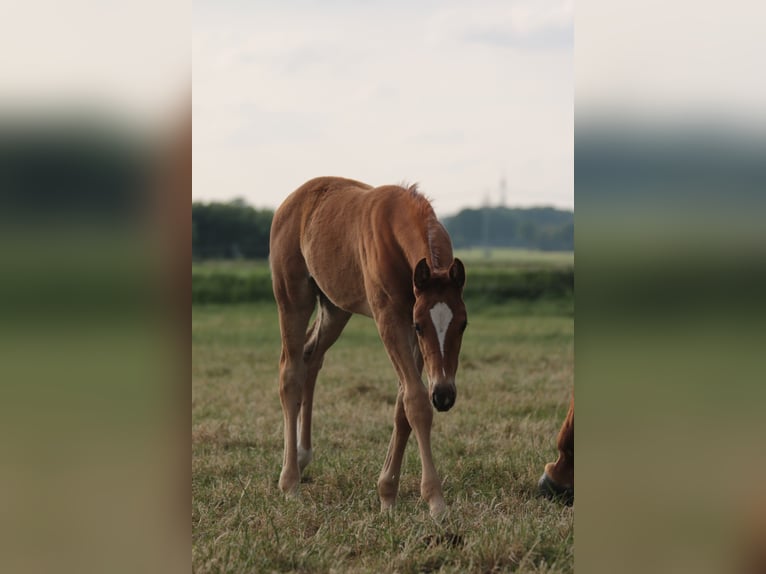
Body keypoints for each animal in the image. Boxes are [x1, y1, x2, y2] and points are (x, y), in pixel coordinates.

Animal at [270, 176, 468, 516]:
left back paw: (302, 455)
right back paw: (290, 482)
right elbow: (416, 400)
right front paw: (435, 501)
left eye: (463, 325)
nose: (444, 395)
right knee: (291, 373)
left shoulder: (408, 321)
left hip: (335, 307)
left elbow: (403, 404)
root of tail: (292, 200)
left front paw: (387, 494)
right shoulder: (391, 318)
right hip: (293, 297)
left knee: (312, 358)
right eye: (421, 326)